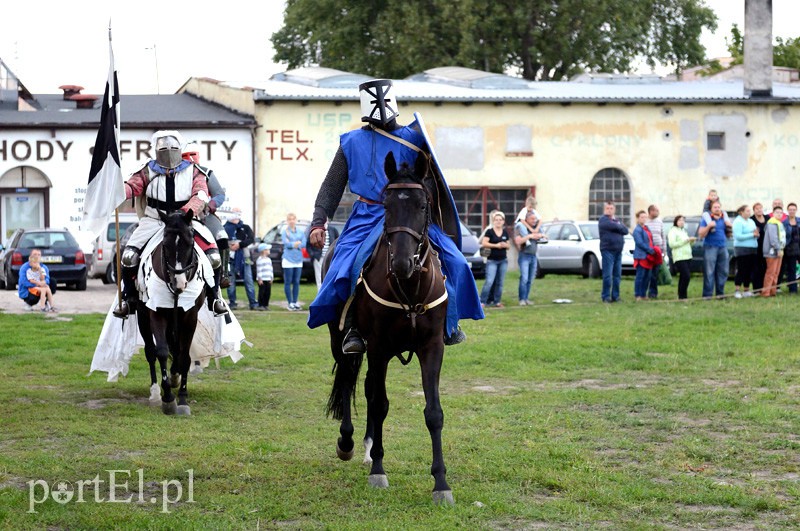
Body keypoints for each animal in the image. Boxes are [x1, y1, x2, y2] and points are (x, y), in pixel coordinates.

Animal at [136, 210, 203, 418]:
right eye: (165, 244)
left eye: (190, 242)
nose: (178, 283)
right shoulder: (156, 314)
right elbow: (162, 352)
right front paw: (167, 398)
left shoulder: (190, 317)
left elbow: (184, 356)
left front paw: (182, 398)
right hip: (143, 317)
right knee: (151, 351)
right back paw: (155, 392)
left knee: (177, 350)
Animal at [324, 152, 450, 504]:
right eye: (387, 205)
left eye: (423, 205)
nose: (402, 264)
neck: (410, 288)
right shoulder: (378, 346)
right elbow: (380, 404)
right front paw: (379, 471)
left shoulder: (431, 347)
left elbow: (433, 413)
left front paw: (441, 484)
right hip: (343, 340)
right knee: (349, 380)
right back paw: (349, 443)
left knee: (367, 386)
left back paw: (368, 446)